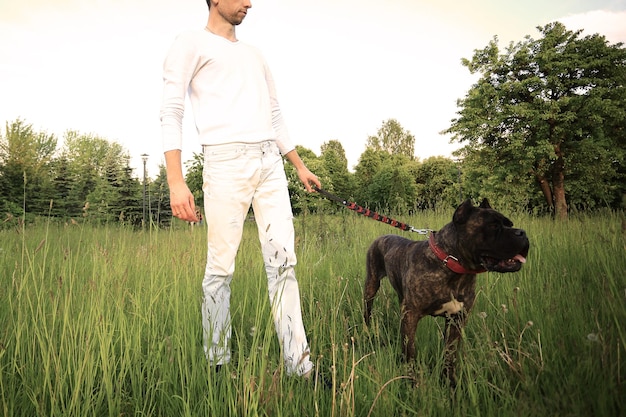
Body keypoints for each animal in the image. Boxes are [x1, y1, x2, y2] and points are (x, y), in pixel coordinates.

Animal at [360, 197, 528, 384]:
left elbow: (450, 354)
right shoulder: (411, 316)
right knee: (367, 310)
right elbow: (410, 351)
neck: (452, 266)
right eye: (493, 226)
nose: (522, 232)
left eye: (509, 224)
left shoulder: (456, 319)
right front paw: (412, 380)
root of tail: (381, 237)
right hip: (371, 286)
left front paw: (449, 382)